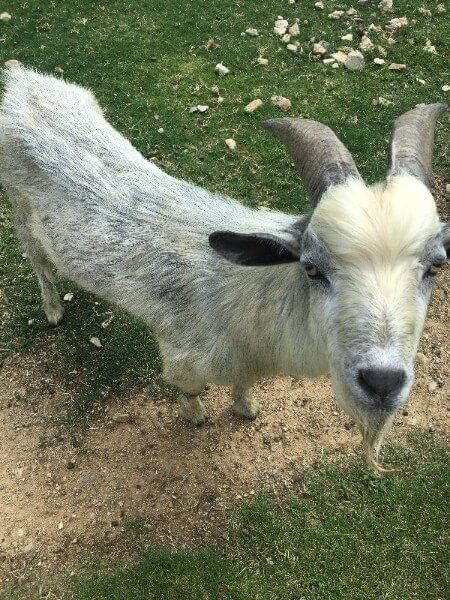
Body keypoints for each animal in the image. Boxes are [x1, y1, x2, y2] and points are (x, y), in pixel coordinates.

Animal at [1, 67, 448, 468]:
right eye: (312, 269)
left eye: (435, 268)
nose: (381, 382)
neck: (246, 294)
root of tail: (21, 80)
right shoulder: (183, 358)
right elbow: (188, 388)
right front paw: (196, 415)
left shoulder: (247, 359)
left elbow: (244, 385)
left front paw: (246, 408)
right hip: (20, 209)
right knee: (37, 261)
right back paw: (53, 309)